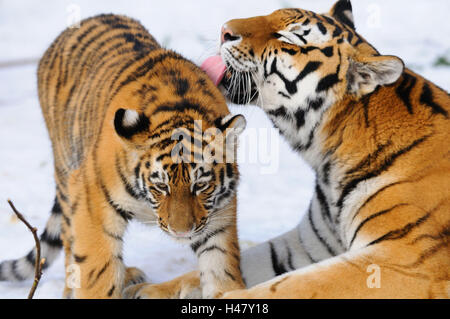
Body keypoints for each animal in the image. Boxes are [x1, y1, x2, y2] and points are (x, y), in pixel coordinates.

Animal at [0, 14, 246, 300]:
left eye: (201, 185)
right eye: (161, 186)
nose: (181, 231)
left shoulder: (218, 215)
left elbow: (220, 262)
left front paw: (227, 290)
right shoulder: (91, 200)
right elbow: (97, 268)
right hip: (67, 173)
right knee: (70, 241)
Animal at [126, 0, 450, 300]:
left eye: (288, 38)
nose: (224, 30)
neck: (326, 156)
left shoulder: (401, 259)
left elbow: (294, 285)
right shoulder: (308, 244)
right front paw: (148, 289)